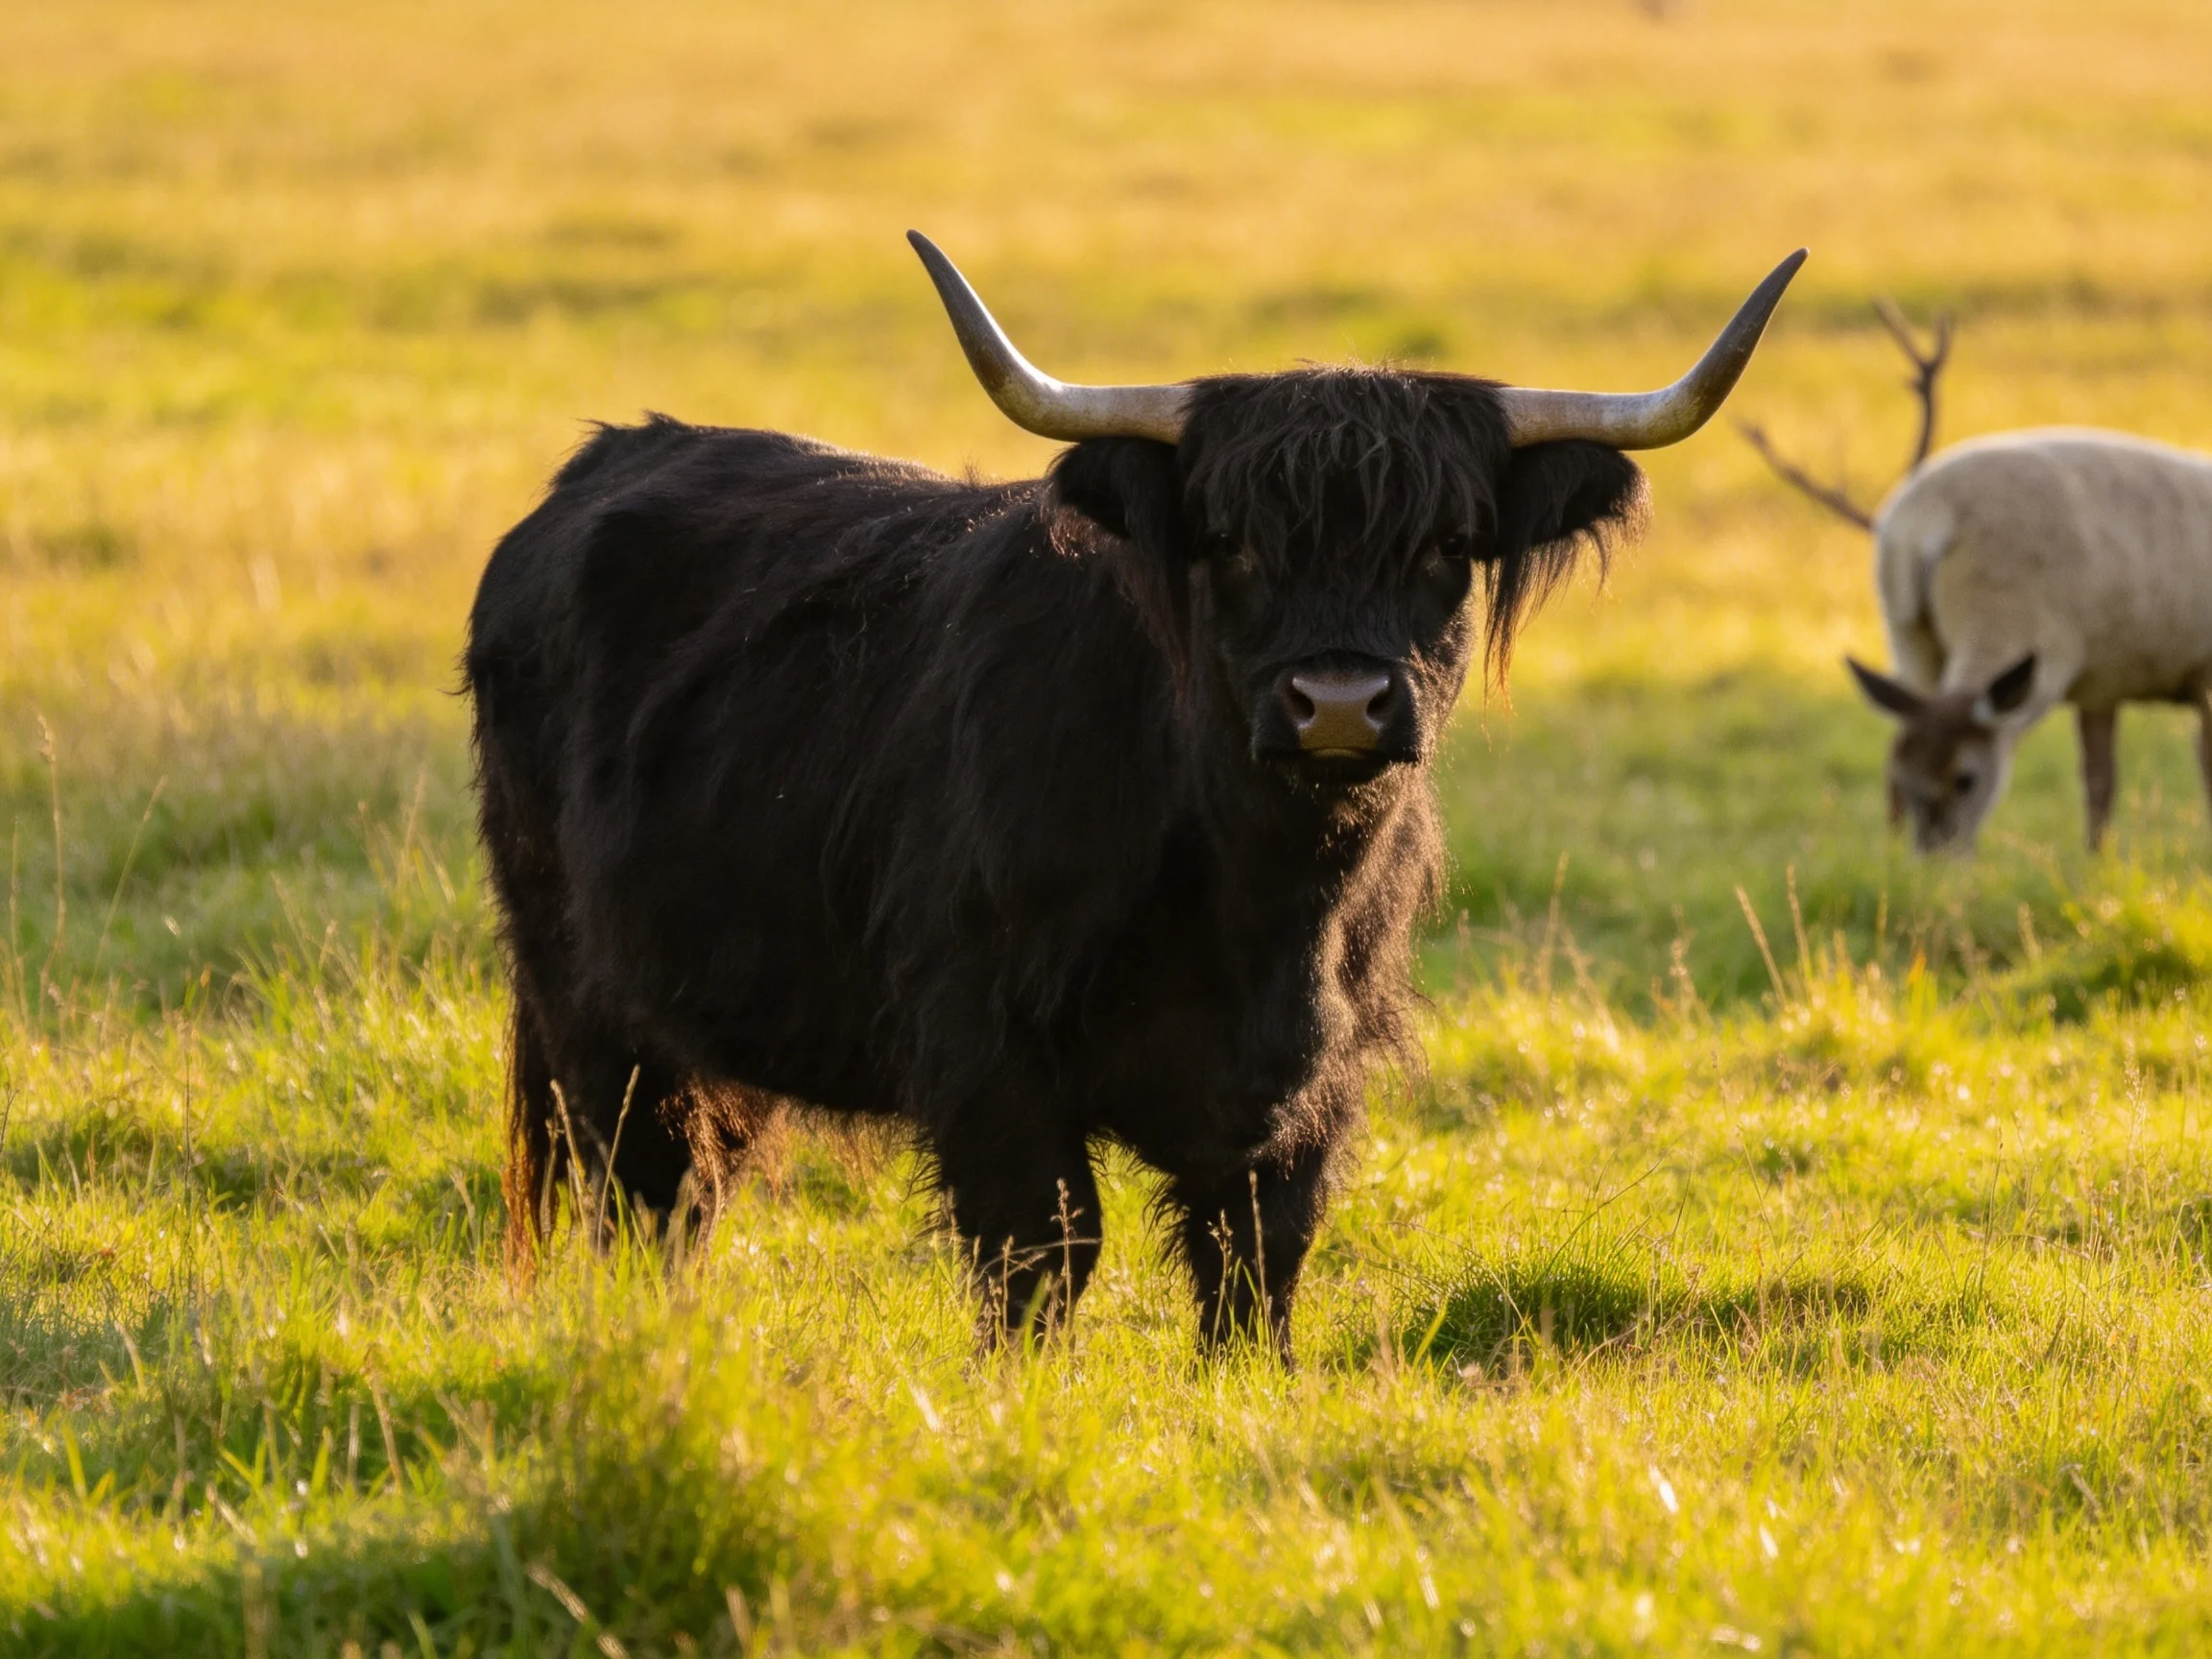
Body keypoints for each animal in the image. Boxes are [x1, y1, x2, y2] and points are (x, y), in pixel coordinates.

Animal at [464, 232, 1803, 1354]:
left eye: (1446, 548)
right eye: (1234, 543)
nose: (1337, 704)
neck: (1263, 907)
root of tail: (608, 456)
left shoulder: (1312, 1091)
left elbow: (1254, 1272)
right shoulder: (989, 1058)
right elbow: (1043, 1255)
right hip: (587, 999)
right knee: (642, 1187)